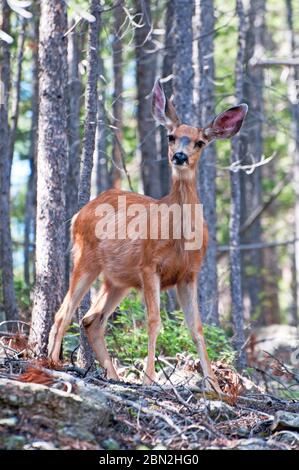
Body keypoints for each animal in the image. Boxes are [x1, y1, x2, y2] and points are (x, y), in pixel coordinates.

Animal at [48, 79, 247, 392]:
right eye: (171, 136)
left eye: (200, 142)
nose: (180, 156)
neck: (180, 237)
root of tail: (80, 212)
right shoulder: (149, 265)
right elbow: (154, 321)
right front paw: (150, 378)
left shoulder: (189, 274)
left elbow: (197, 327)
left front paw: (215, 387)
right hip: (86, 257)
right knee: (64, 311)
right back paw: (51, 362)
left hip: (117, 279)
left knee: (91, 319)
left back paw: (114, 376)